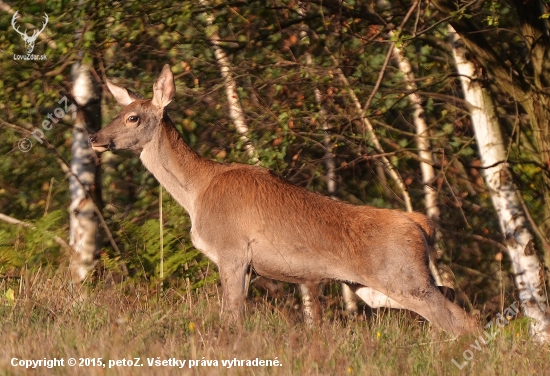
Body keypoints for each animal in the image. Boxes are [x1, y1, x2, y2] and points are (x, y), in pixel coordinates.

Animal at [89, 64, 478, 334]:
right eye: (116, 113)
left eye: (132, 117)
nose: (95, 137)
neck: (196, 190)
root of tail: (421, 224)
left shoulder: (232, 250)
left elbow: (231, 316)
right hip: (375, 286)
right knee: (453, 297)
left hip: (402, 276)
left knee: (461, 321)